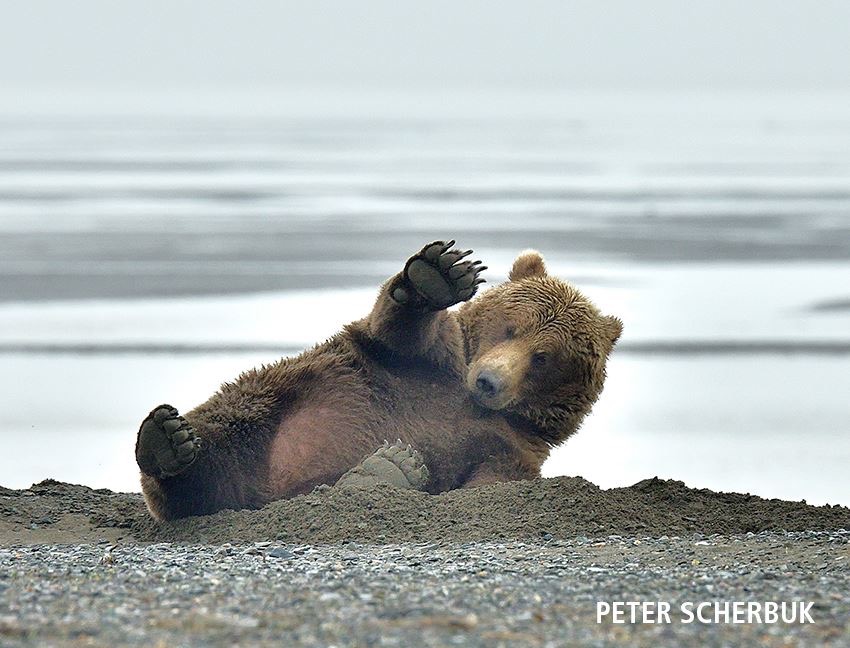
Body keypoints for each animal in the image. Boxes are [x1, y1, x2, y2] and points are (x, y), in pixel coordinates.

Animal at [134, 240, 624, 520]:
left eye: (544, 358)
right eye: (512, 327)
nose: (489, 381)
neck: (472, 401)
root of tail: (267, 495)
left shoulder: (512, 447)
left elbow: (487, 484)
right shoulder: (427, 365)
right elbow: (399, 329)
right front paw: (437, 274)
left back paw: (384, 469)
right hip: (278, 401)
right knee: (227, 426)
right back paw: (168, 442)